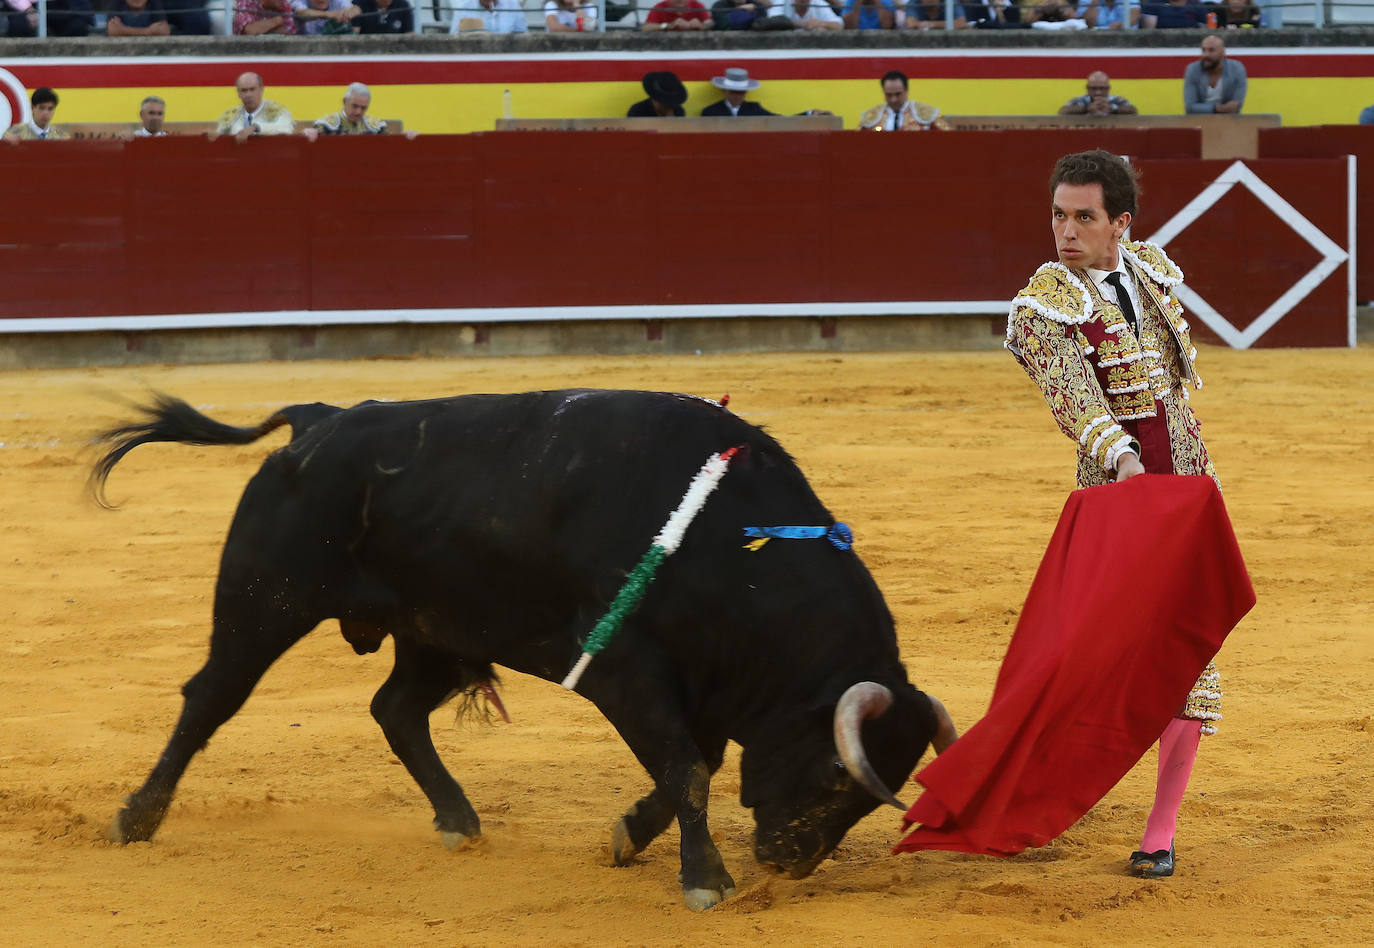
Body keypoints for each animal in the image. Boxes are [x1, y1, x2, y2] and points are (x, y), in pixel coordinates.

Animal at [91, 384, 950, 906]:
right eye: (838, 776)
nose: (786, 861)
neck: (733, 547)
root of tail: (321, 417)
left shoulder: (699, 687)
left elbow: (687, 770)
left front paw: (628, 837)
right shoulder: (625, 670)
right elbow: (688, 772)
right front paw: (706, 880)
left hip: (434, 628)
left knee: (395, 709)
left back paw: (457, 819)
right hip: (264, 600)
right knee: (211, 697)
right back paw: (137, 819)